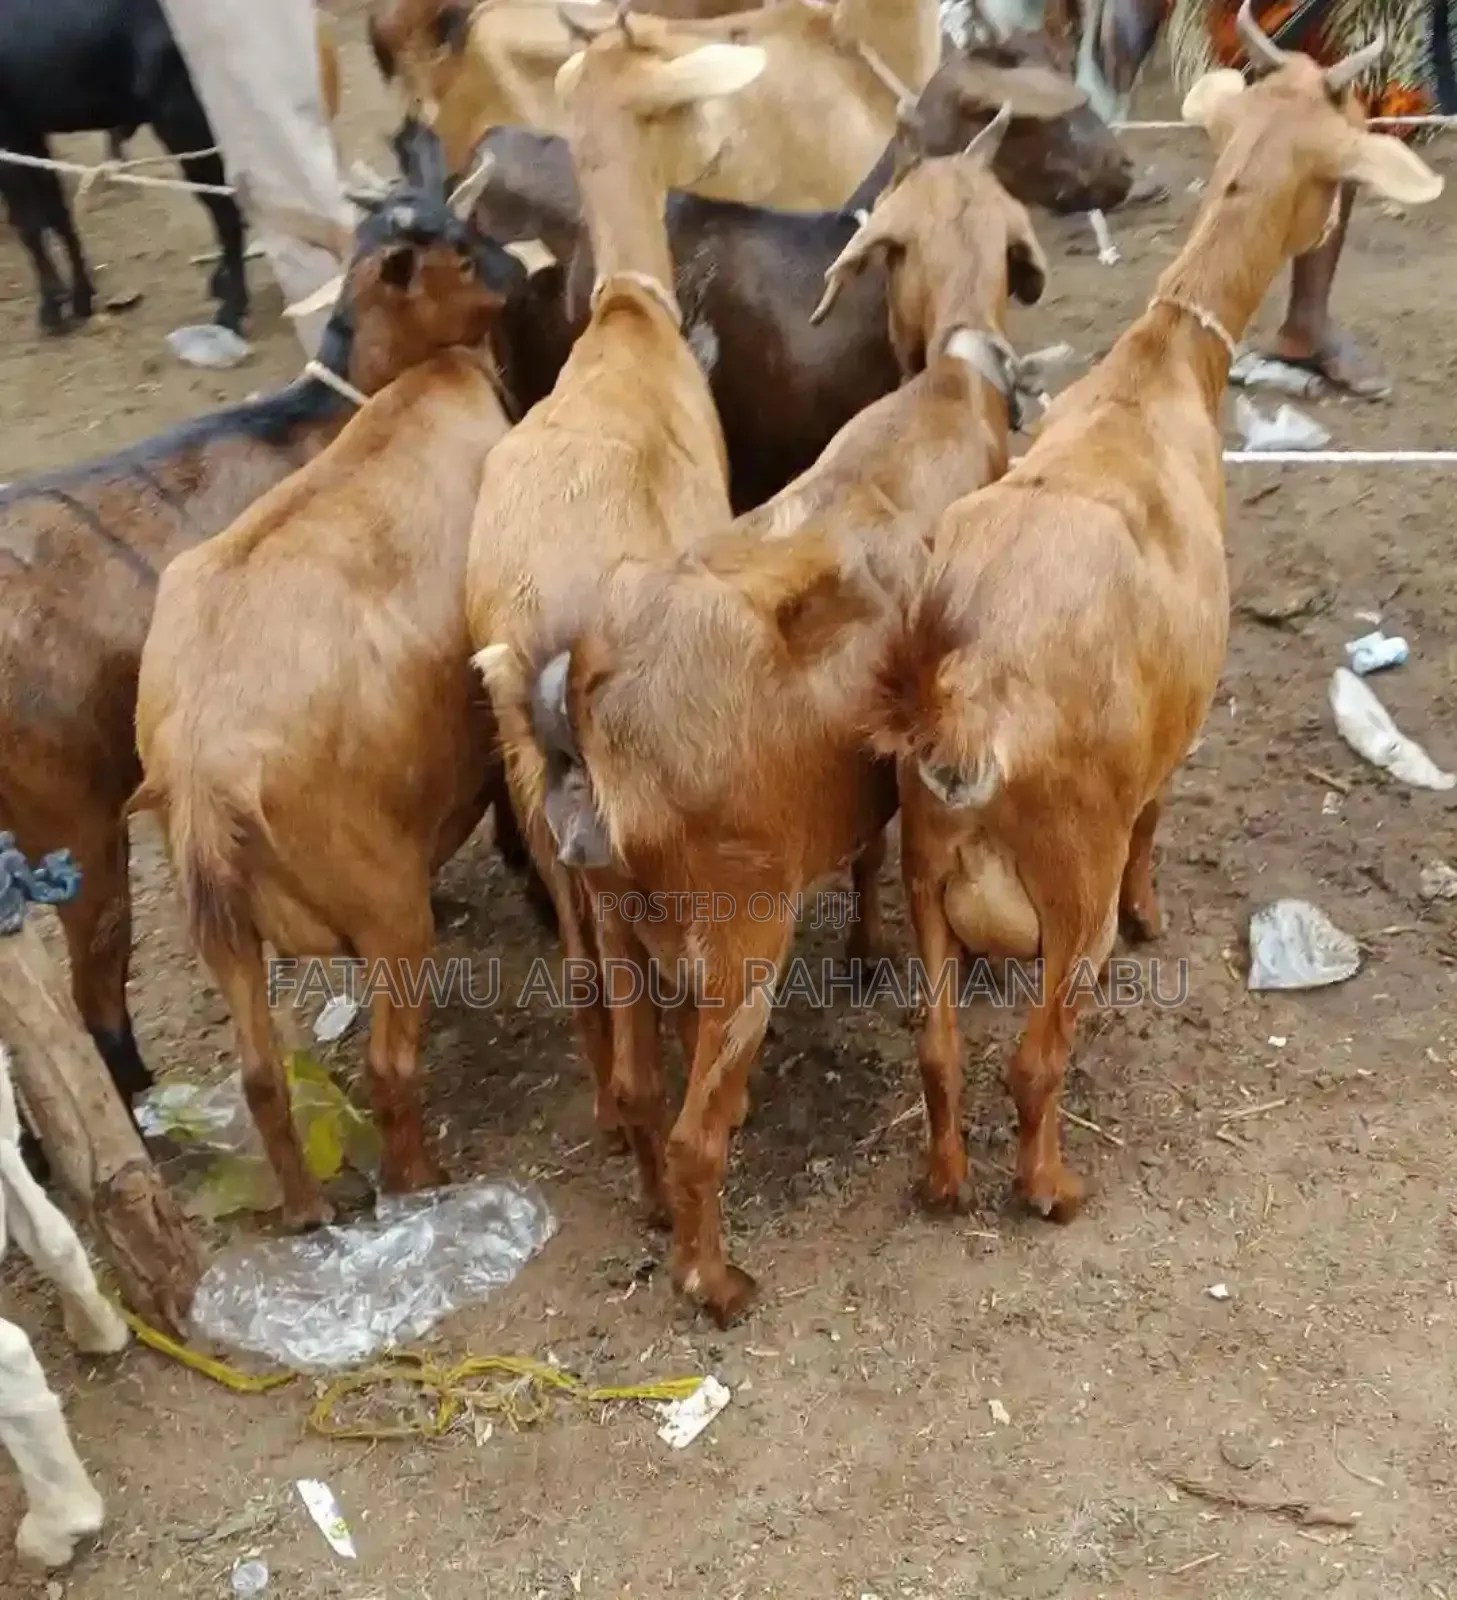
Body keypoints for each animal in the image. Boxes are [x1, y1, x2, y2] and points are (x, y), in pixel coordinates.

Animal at [0, 123, 568, 1122]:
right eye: (460, 249)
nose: (529, 271)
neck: (329, 412)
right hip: (69, 826)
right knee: (96, 991)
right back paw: (140, 1103)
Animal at [509, 108, 1068, 1324]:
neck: (938, 397)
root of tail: (594, 698)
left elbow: (861, 856)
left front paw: (863, 952)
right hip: (739, 936)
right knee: (695, 1132)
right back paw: (714, 1280)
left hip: (614, 917)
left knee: (634, 1088)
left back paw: (651, 1214)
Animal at [869, 2, 1441, 1223]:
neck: (1153, 376)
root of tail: (972, 705)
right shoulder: (1176, 722)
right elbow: (1157, 819)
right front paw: (1155, 915)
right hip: (1065, 870)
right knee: (1035, 1054)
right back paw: (1051, 1185)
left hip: (920, 864)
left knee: (938, 1047)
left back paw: (943, 1181)